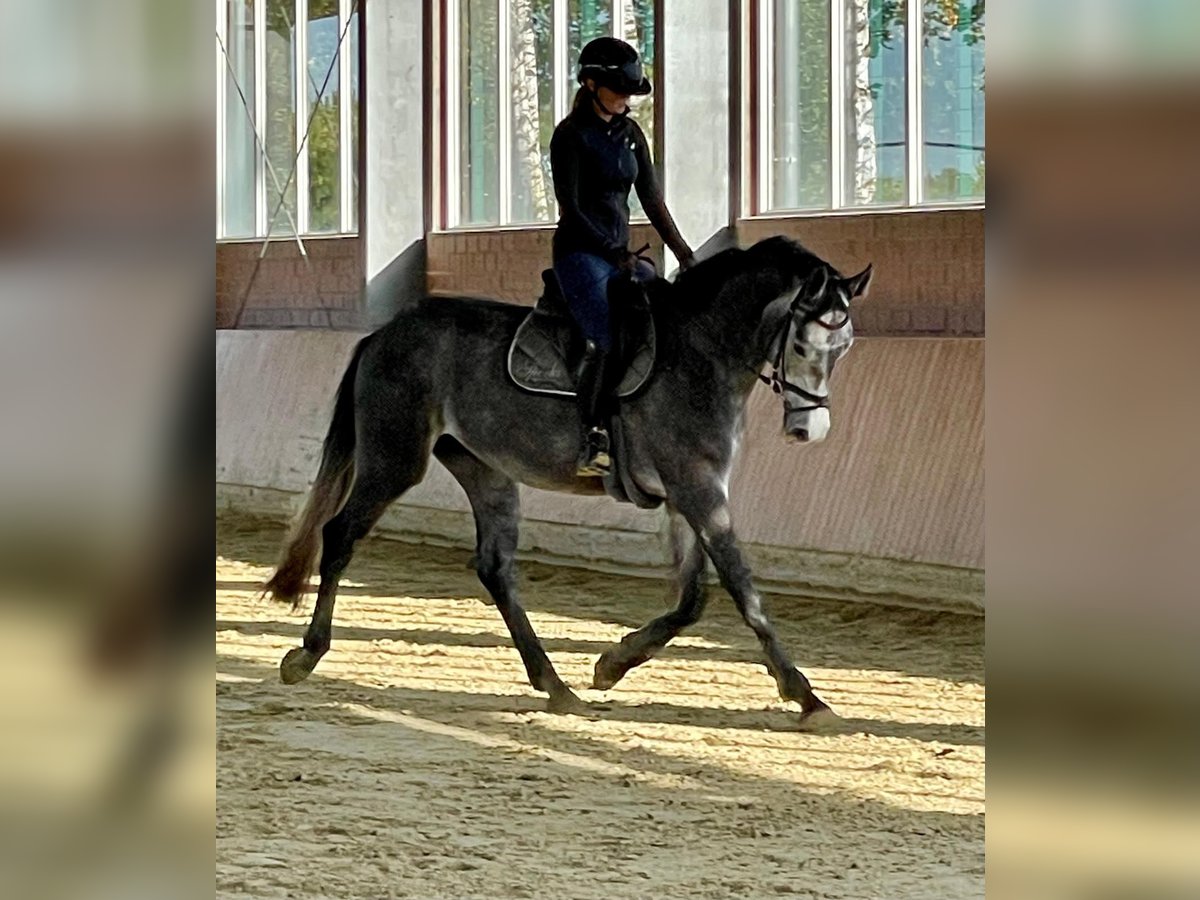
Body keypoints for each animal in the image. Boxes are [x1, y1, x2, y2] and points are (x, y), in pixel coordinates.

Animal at [265, 236, 873, 724]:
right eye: (801, 344)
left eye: (843, 349)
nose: (809, 429)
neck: (701, 353)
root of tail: (385, 333)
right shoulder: (698, 489)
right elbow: (743, 589)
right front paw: (806, 696)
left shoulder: (689, 494)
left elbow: (692, 599)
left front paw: (611, 664)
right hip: (395, 459)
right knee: (341, 534)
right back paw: (306, 655)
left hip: (484, 468)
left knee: (495, 568)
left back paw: (555, 686)